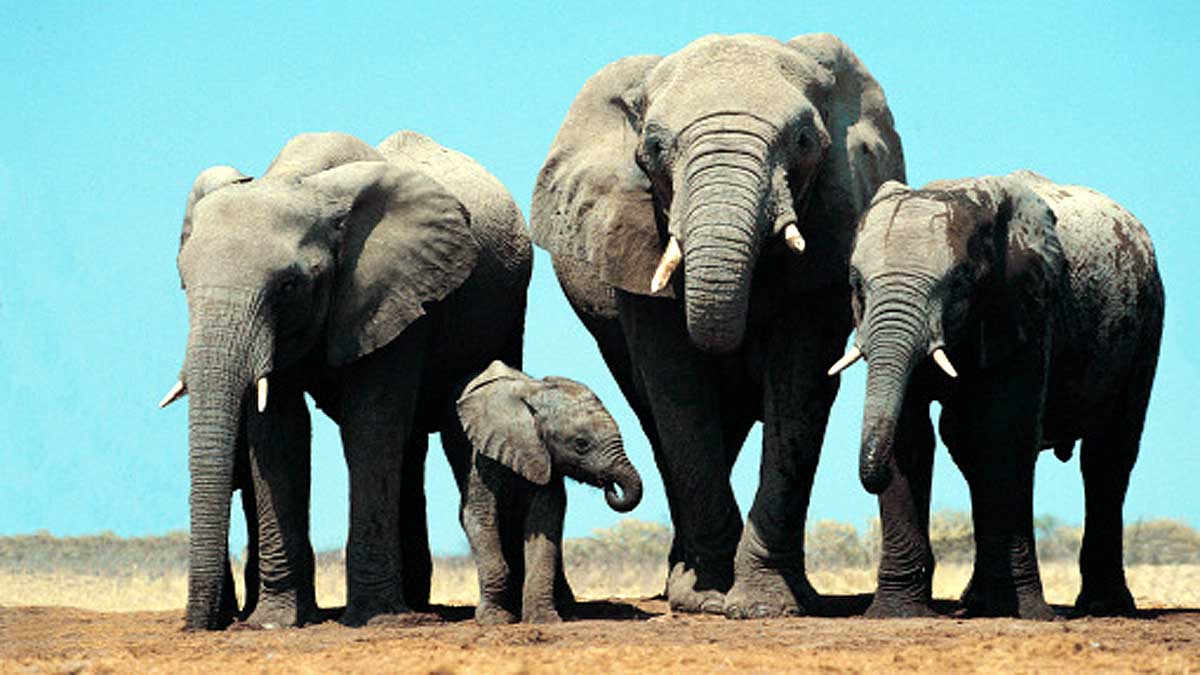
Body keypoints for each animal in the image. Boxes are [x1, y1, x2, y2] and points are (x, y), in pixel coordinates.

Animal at [162, 130, 532, 629]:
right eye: (183, 281)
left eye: (289, 286)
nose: (200, 627)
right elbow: (279, 432)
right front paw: (277, 621)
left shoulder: (395, 294)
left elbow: (370, 425)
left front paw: (373, 617)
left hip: (509, 313)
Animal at [452, 360, 642, 624]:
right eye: (581, 444)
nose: (610, 486)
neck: (533, 394)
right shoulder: (483, 457)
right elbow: (478, 517)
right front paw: (494, 620)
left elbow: (544, 523)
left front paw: (543, 620)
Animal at [530, 33, 904, 617]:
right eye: (653, 148)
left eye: (804, 140)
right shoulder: (635, 235)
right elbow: (677, 386)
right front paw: (705, 600)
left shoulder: (832, 221)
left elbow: (798, 384)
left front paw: (767, 605)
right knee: (655, 414)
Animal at [830, 170, 1163, 618]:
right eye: (856, 284)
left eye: (958, 283)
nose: (868, 478)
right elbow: (911, 436)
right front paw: (896, 614)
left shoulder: (1027, 307)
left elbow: (1005, 432)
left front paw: (1027, 613)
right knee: (967, 450)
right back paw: (978, 600)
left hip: (1147, 322)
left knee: (1107, 456)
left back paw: (1103, 606)